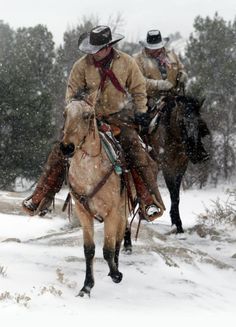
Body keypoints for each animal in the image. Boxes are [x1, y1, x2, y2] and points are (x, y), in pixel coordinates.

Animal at [61, 96, 126, 298]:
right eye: (65, 114)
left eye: (88, 116)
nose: (66, 147)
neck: (89, 172)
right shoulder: (83, 212)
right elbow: (89, 250)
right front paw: (86, 287)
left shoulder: (112, 213)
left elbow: (108, 249)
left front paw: (116, 275)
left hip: (123, 211)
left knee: (119, 240)